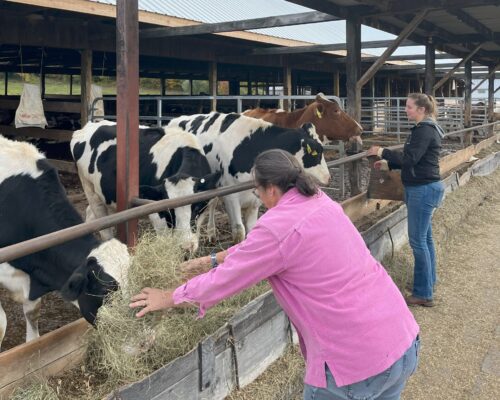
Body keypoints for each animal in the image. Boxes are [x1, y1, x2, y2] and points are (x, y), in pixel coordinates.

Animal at [71, 120, 220, 252]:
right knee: (102, 222)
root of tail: (88, 125)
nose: (186, 247)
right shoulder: (156, 213)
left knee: (91, 214)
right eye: (169, 210)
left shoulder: (202, 211)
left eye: (196, 207)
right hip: (90, 189)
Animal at [169, 112, 332, 244]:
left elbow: (251, 228)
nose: (328, 177)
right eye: (316, 153)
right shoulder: (231, 197)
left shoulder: (255, 200)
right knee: (212, 204)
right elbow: (239, 231)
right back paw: (211, 233)